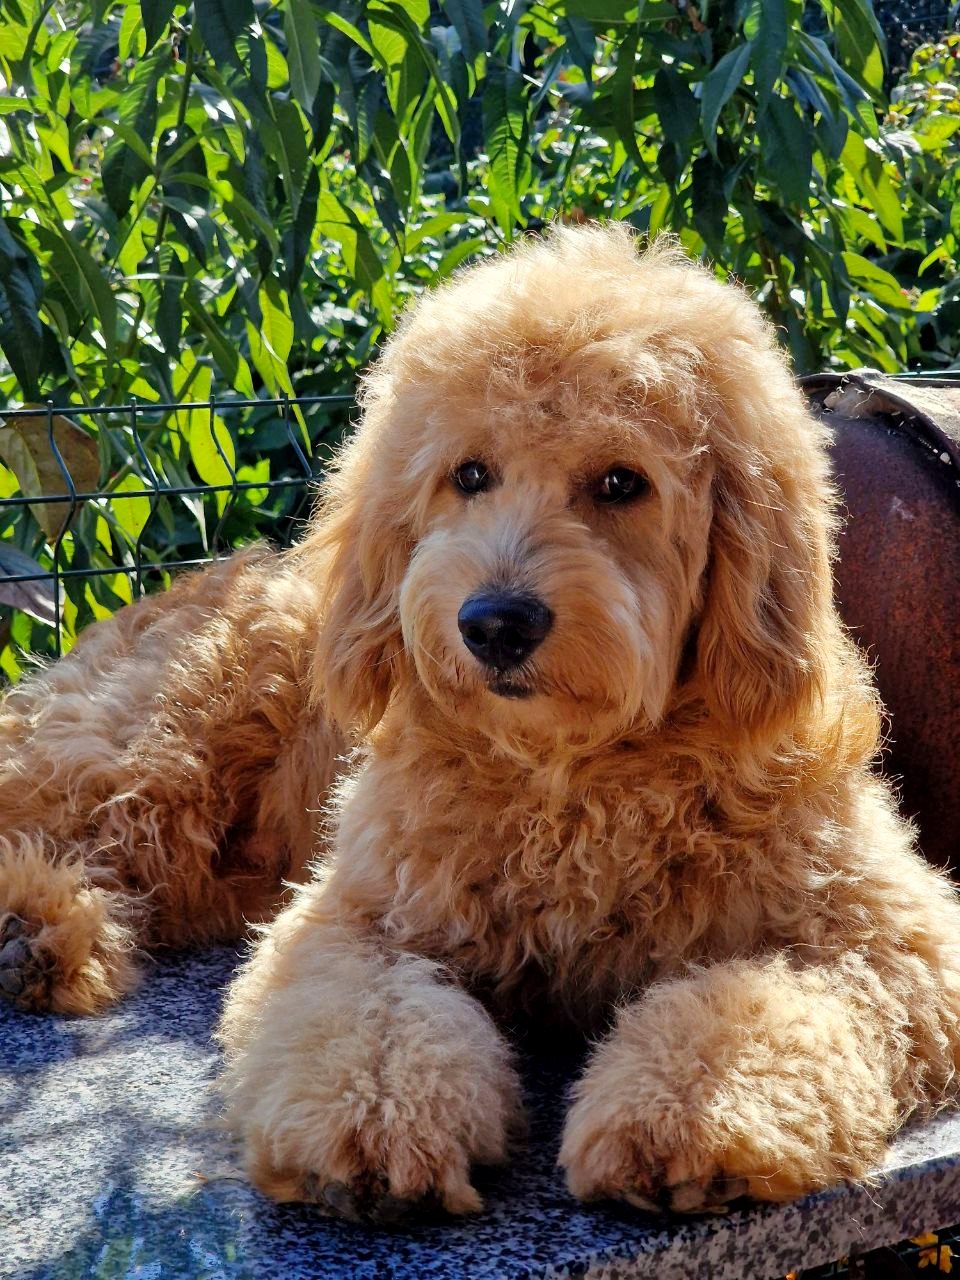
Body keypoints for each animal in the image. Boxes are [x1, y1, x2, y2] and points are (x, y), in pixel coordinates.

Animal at [2, 225, 959, 1221]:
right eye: (469, 474)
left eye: (621, 482)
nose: (495, 623)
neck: (572, 779)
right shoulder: (355, 918)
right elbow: (374, 1016)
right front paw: (374, 1126)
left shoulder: (892, 939)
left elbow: (766, 1000)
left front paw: (686, 1119)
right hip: (160, 746)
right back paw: (34, 926)